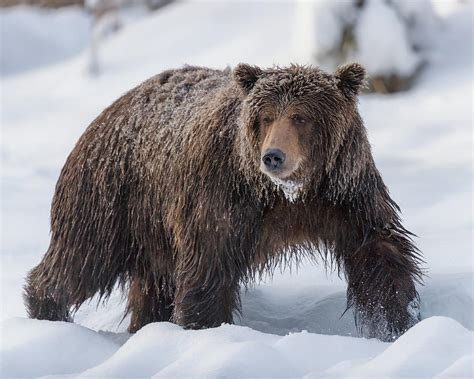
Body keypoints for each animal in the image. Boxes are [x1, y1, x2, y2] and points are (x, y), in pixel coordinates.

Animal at [24, 62, 422, 342]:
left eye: (301, 116)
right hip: (110, 198)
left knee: (152, 284)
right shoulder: (222, 200)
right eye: (265, 117)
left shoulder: (344, 194)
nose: (273, 156)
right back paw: (47, 309)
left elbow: (379, 254)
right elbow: (208, 270)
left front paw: (395, 323)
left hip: (152, 228)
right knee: (81, 258)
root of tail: (111, 109)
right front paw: (205, 328)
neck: (289, 194)